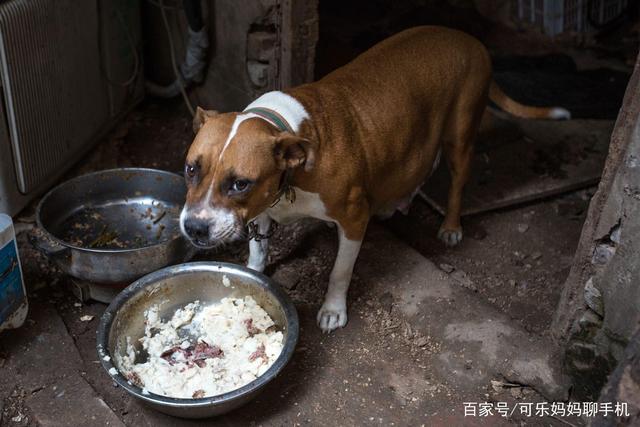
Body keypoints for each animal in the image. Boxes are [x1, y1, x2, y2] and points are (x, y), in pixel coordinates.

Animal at [180, 26, 568, 334]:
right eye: (190, 169)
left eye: (240, 183)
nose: (194, 228)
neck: (285, 132)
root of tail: (467, 37)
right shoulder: (261, 208)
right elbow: (258, 250)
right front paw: (256, 276)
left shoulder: (352, 220)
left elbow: (340, 271)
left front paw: (333, 310)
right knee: (425, 162)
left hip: (460, 133)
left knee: (457, 181)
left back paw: (451, 225)